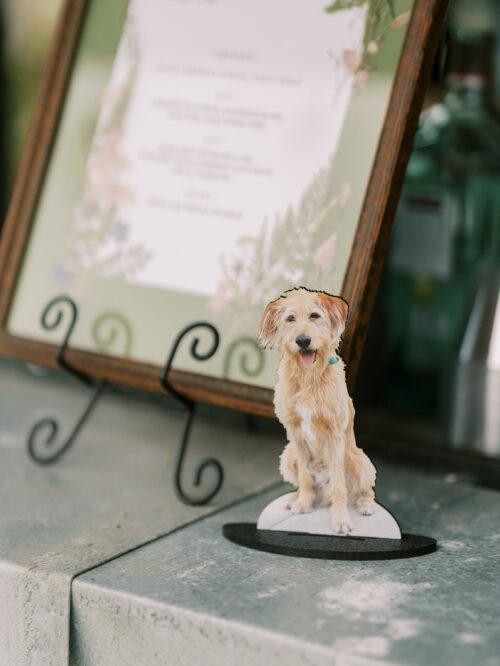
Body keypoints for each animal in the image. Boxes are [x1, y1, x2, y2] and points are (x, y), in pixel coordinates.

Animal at [260, 286, 374, 536]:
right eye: (290, 319)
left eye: (314, 316)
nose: (303, 341)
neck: (308, 376)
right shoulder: (295, 434)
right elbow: (304, 476)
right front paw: (303, 502)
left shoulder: (334, 433)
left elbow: (340, 486)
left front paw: (340, 520)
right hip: (288, 455)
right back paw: (296, 498)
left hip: (358, 459)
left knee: (362, 489)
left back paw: (365, 504)